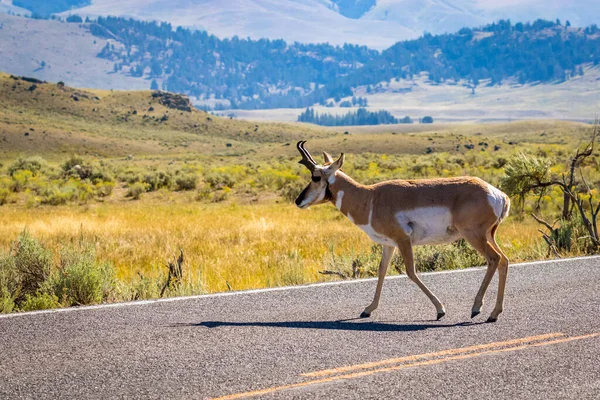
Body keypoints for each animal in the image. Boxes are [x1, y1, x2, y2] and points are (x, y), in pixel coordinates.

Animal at [296, 141, 510, 322]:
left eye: (316, 177)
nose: (298, 201)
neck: (370, 198)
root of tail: (498, 194)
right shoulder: (388, 244)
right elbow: (382, 271)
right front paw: (368, 309)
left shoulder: (403, 240)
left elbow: (411, 272)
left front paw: (440, 310)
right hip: (488, 236)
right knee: (504, 260)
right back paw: (494, 313)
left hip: (474, 236)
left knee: (494, 259)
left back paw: (477, 308)